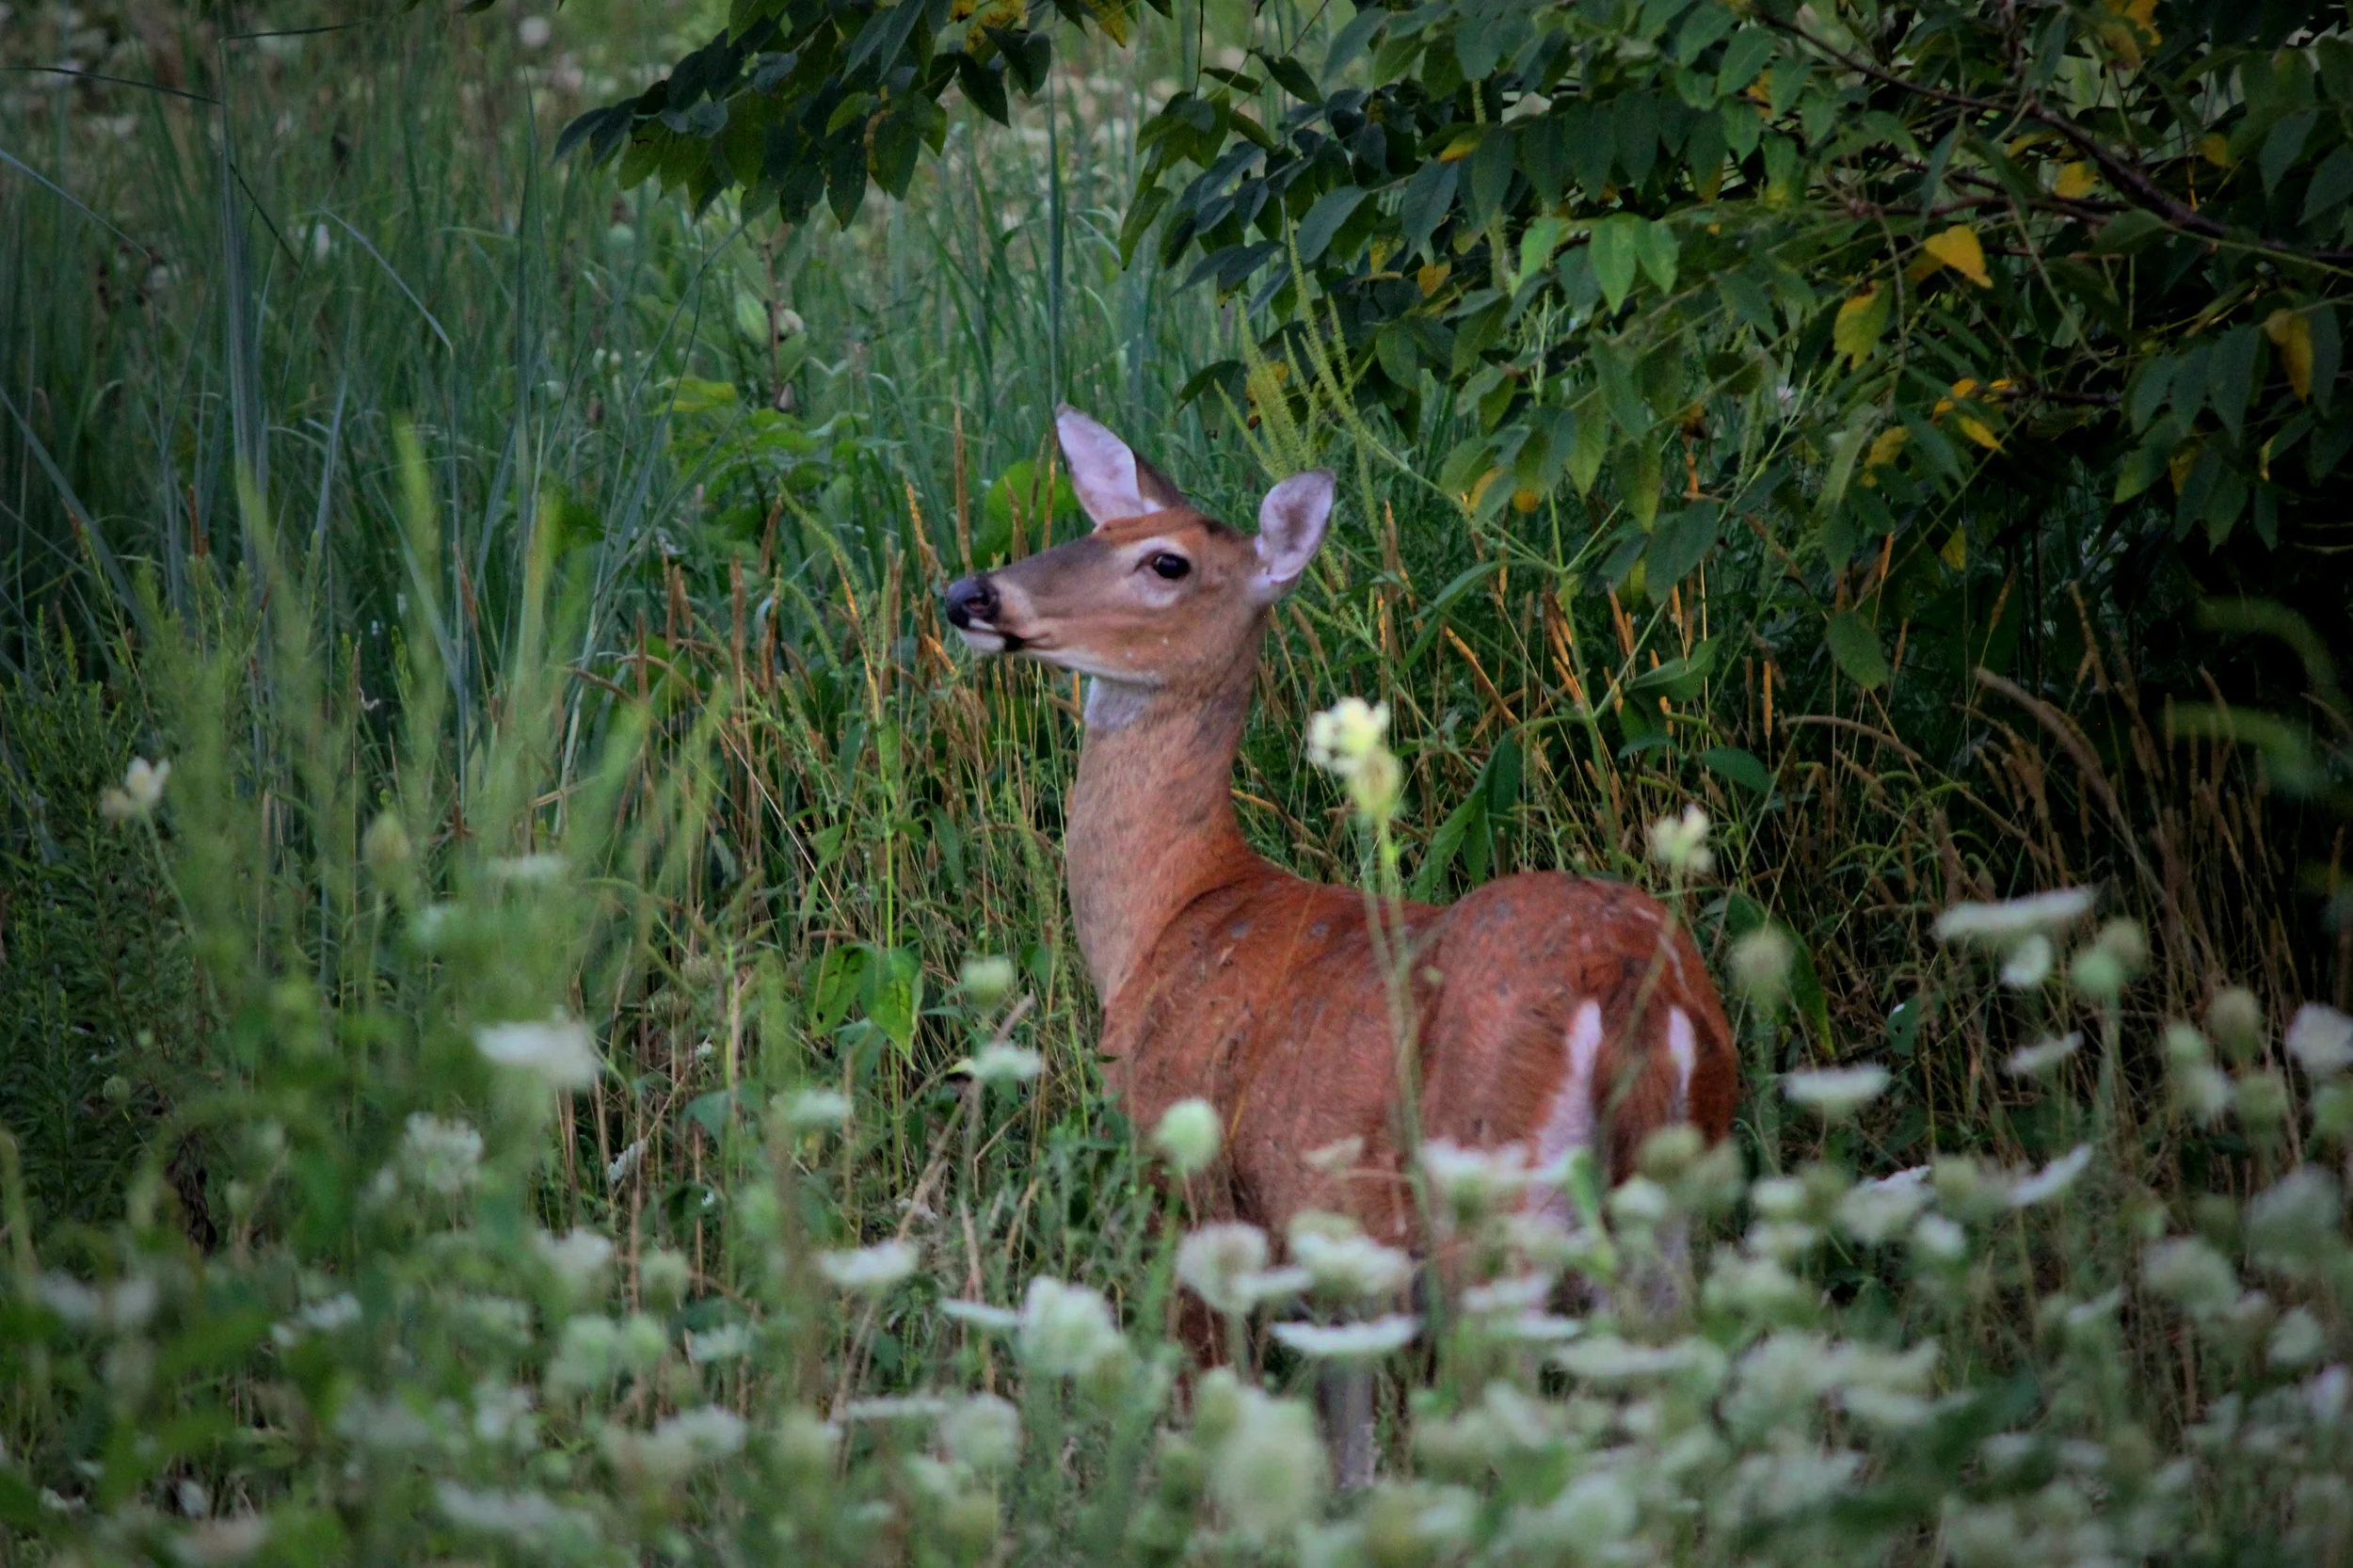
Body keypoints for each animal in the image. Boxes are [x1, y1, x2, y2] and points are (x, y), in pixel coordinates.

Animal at [941, 409, 1737, 1480]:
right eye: (1096, 529)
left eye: (1166, 562)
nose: (969, 594)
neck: (1171, 916)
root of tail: (1631, 989)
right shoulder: (1335, 1259)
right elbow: (1346, 1451)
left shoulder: (1193, 1178)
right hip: (1667, 1217)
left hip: (1495, 1212)